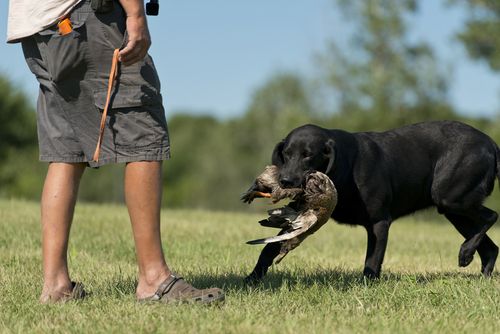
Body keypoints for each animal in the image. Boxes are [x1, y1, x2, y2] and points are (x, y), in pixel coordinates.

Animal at [246, 120, 500, 282]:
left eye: (308, 155)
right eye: (286, 154)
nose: (285, 180)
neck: (345, 170)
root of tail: (491, 143)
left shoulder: (379, 223)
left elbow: (372, 260)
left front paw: (365, 287)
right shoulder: (301, 217)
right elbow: (269, 247)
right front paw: (252, 279)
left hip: (450, 198)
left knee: (492, 216)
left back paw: (466, 252)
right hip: (454, 211)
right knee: (491, 247)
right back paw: (480, 277)